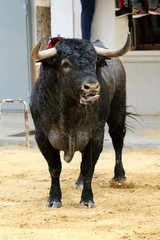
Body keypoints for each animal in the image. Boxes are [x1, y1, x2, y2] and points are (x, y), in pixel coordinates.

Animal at [30, 34, 131, 209]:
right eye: (65, 64)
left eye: (94, 61)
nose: (92, 87)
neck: (69, 112)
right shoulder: (42, 137)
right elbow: (54, 168)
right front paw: (54, 198)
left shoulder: (95, 136)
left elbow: (88, 168)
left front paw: (87, 199)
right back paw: (80, 182)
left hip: (118, 111)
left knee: (118, 138)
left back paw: (119, 175)